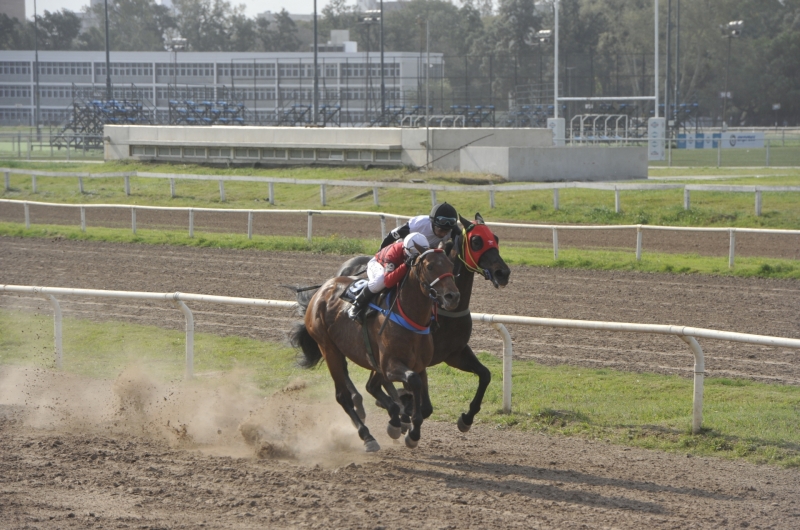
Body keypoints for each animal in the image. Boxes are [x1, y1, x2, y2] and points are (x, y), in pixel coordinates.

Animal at [290, 248, 460, 450]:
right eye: (430, 266)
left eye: (451, 265)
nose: (452, 296)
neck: (409, 316)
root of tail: (321, 290)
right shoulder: (390, 365)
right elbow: (413, 380)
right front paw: (406, 427)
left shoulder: (418, 365)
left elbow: (425, 406)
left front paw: (408, 428)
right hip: (328, 348)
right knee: (343, 396)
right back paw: (367, 436)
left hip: (358, 355)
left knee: (370, 385)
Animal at [296, 212, 512, 432]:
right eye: (476, 241)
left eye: (496, 238)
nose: (502, 273)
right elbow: (416, 398)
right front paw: (403, 412)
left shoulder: (454, 353)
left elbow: (485, 374)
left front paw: (466, 418)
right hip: (335, 344)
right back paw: (365, 403)